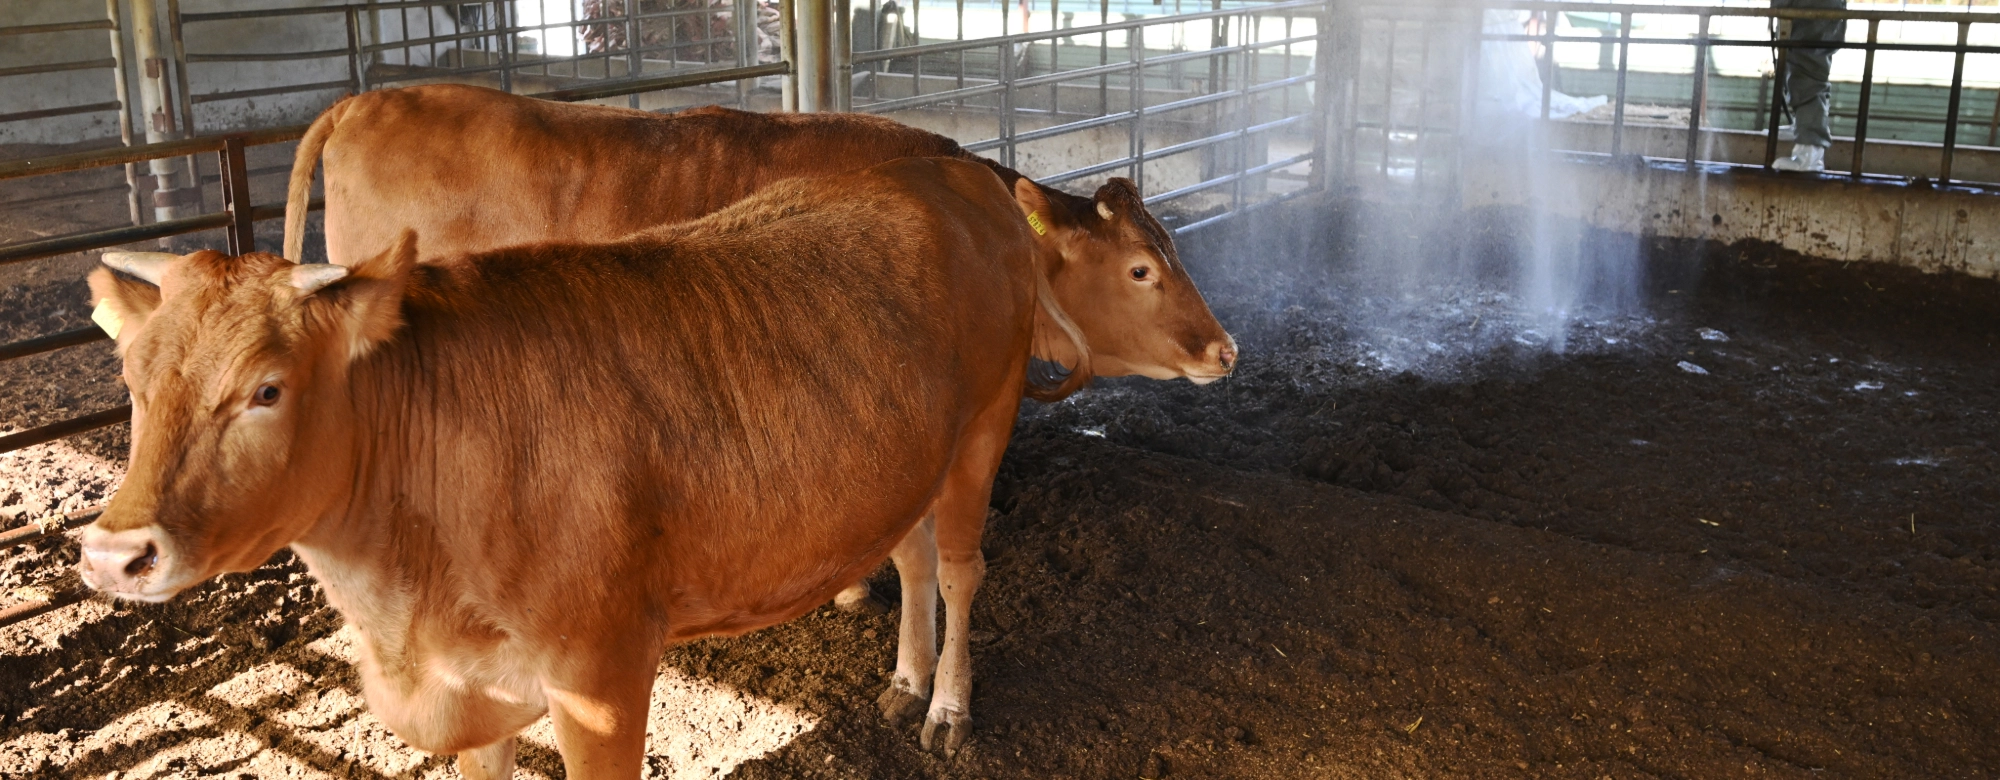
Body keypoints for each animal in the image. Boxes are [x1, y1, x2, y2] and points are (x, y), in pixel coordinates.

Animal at [82, 157, 1064, 772]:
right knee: (914, 556)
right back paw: (905, 683)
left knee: (962, 568)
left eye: (266, 390)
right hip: (906, 458)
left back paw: (946, 708)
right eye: (130, 379)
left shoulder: (602, 675)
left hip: (985, 423)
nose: (111, 554)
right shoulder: (470, 689)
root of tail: (950, 171)